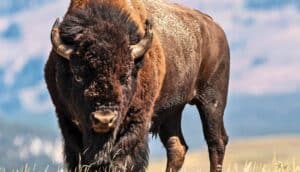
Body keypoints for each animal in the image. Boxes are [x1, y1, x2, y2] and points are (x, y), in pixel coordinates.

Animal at [44, 0, 231, 172]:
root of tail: (215, 28)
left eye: (125, 76)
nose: (104, 119)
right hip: (172, 111)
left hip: (211, 100)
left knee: (216, 141)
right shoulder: (66, 118)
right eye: (77, 76)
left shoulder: (137, 120)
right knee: (177, 146)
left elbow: (123, 158)